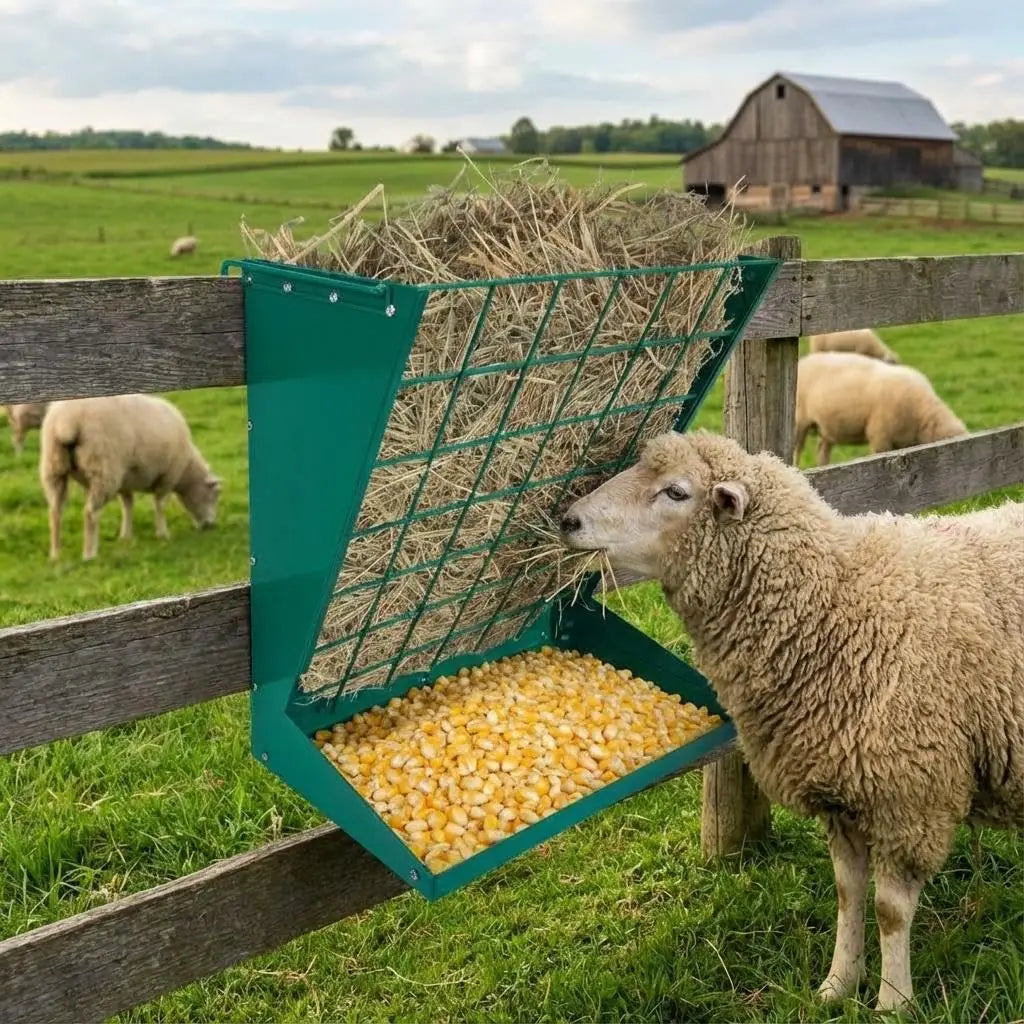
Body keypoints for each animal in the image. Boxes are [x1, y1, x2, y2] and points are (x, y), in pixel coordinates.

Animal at [39, 393, 221, 561]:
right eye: (214, 495)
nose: (210, 526)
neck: (186, 471)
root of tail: (66, 422)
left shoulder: (125, 481)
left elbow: (127, 505)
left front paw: (125, 535)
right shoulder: (167, 477)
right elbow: (159, 505)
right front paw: (162, 533)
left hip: (54, 468)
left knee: (55, 511)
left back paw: (55, 554)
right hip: (103, 470)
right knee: (90, 513)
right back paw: (89, 554)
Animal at [560, 429, 1023, 1012]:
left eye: (676, 492)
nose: (568, 520)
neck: (836, 604)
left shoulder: (909, 797)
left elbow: (891, 912)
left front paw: (893, 1004)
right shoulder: (843, 794)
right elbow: (848, 895)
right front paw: (836, 987)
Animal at [795, 351, 967, 466]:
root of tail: (803, 361)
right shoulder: (879, 437)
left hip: (826, 427)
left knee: (822, 450)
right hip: (799, 421)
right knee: (797, 449)